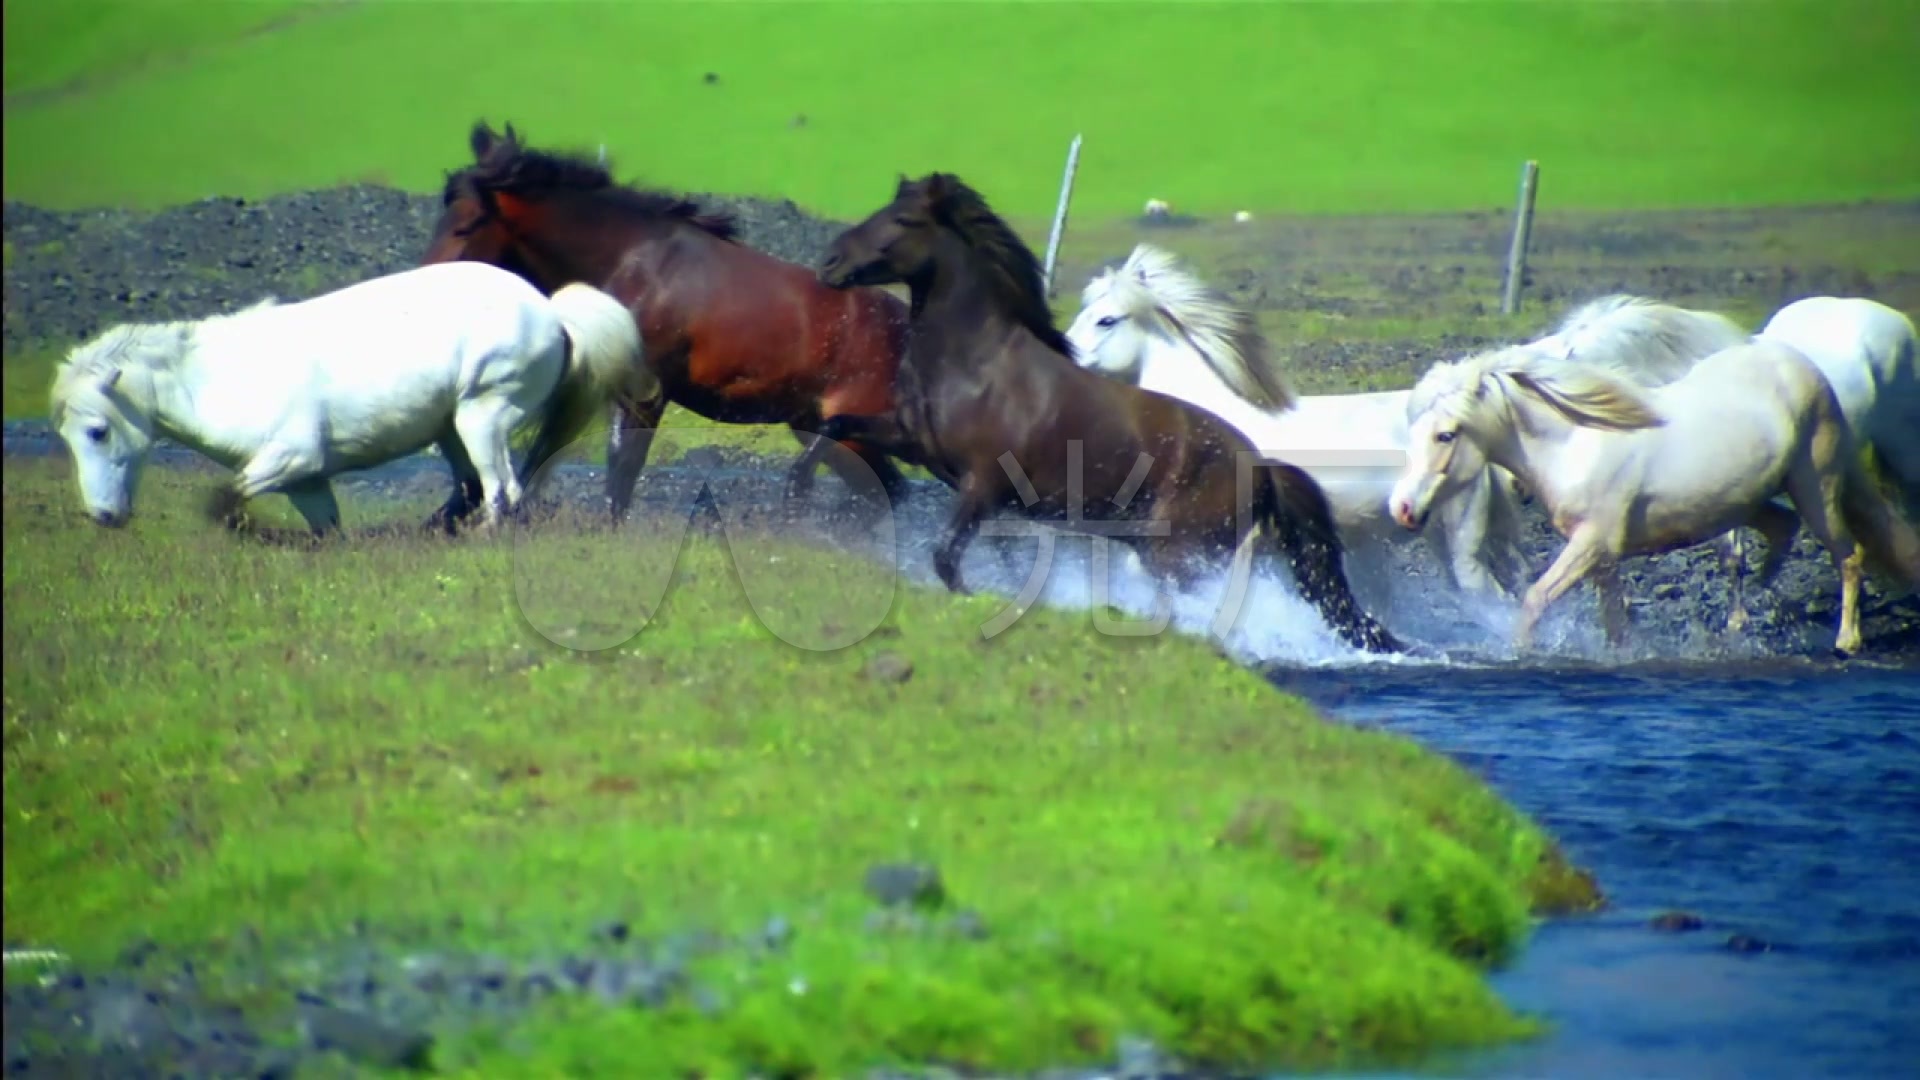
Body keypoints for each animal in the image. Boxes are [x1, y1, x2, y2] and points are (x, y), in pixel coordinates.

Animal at [48, 257, 656, 534]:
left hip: (481, 418)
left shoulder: (292, 457)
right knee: (474, 488)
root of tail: (550, 310)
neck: (221, 380)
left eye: (98, 432)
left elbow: (228, 495)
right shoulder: (306, 479)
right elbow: (326, 529)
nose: (103, 515)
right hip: (451, 430)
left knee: (502, 489)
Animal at [418, 122, 921, 522]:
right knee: (887, 492)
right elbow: (542, 455)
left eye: (466, 224)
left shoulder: (644, 391)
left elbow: (621, 471)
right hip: (820, 427)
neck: (630, 264)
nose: (424, 283)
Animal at [817, 171, 1405, 653]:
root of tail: (1260, 465)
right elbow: (834, 427)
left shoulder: (982, 484)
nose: (829, 261)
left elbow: (947, 557)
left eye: (903, 220)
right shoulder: (914, 443)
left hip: (1183, 554)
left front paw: (977, 599)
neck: (976, 366)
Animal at [1390, 340, 1920, 653]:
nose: (1403, 509)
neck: (1575, 443)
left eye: (1445, 435)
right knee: (1780, 530)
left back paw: (1846, 640)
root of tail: (1808, 370)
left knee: (1849, 554)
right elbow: (1614, 619)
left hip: (1814, 485)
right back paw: (1751, 605)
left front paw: (1521, 653)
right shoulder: (1602, 556)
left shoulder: (1592, 543)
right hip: (1745, 501)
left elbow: (1536, 597)